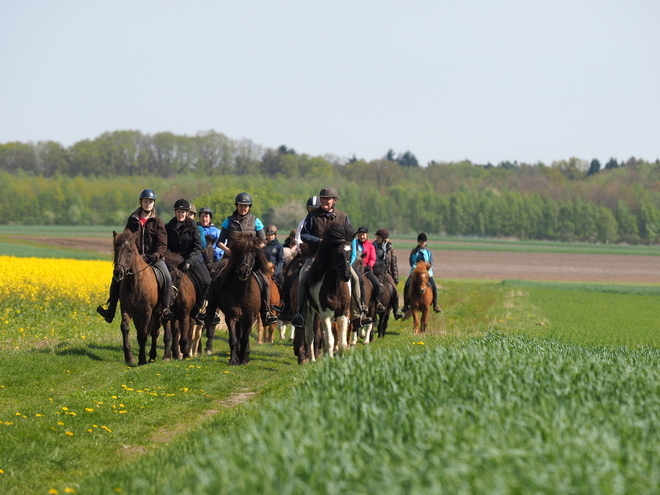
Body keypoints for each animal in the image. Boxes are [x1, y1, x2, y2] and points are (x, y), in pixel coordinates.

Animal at [111, 231, 162, 366]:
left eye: (130, 251)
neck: (135, 283)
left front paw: (142, 359)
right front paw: (129, 358)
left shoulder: (147, 312)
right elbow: (125, 328)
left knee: (154, 332)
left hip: (157, 313)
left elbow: (143, 335)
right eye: (116, 249)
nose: (118, 273)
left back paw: (152, 356)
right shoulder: (126, 309)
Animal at [205, 232, 270, 364]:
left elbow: (245, 338)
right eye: (239, 253)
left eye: (253, 255)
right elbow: (234, 339)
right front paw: (233, 360)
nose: (243, 272)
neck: (242, 291)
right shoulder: (231, 316)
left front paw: (244, 359)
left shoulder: (250, 317)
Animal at [300, 223, 354, 362]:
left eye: (350, 251)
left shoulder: (342, 314)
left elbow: (342, 343)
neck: (335, 287)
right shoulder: (325, 314)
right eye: (337, 252)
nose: (346, 276)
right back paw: (312, 359)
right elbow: (330, 340)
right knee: (310, 335)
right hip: (309, 312)